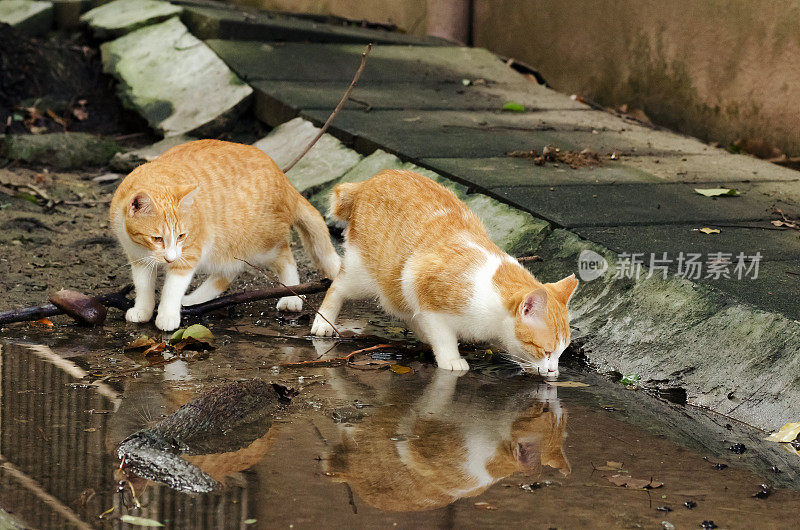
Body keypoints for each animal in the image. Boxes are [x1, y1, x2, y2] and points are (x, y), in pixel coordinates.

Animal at [110, 140, 340, 330]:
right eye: (157, 238)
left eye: (181, 236)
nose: (170, 258)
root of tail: (284, 179)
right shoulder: (138, 258)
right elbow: (143, 285)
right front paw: (143, 309)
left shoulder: (189, 253)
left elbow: (172, 287)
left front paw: (167, 315)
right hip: (227, 248)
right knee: (228, 272)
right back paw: (195, 299)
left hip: (260, 243)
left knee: (286, 258)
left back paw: (292, 297)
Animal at [310, 171, 580, 374]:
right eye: (545, 351)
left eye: (561, 353)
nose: (553, 371)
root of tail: (370, 180)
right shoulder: (424, 289)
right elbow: (443, 335)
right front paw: (451, 358)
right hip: (365, 274)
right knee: (337, 286)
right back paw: (323, 323)